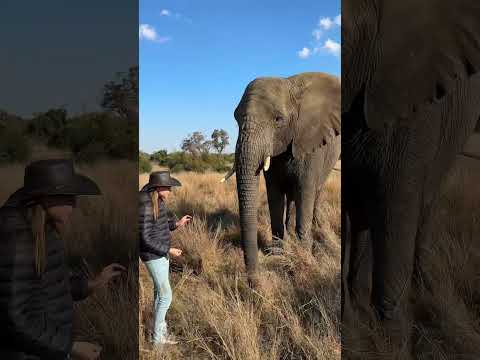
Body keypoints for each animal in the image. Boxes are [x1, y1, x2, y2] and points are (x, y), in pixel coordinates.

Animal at [222, 71, 342, 278]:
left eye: (278, 120)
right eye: (236, 118)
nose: (252, 279)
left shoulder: (310, 144)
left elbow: (305, 191)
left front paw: (304, 254)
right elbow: (275, 195)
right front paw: (278, 255)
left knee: (314, 193)